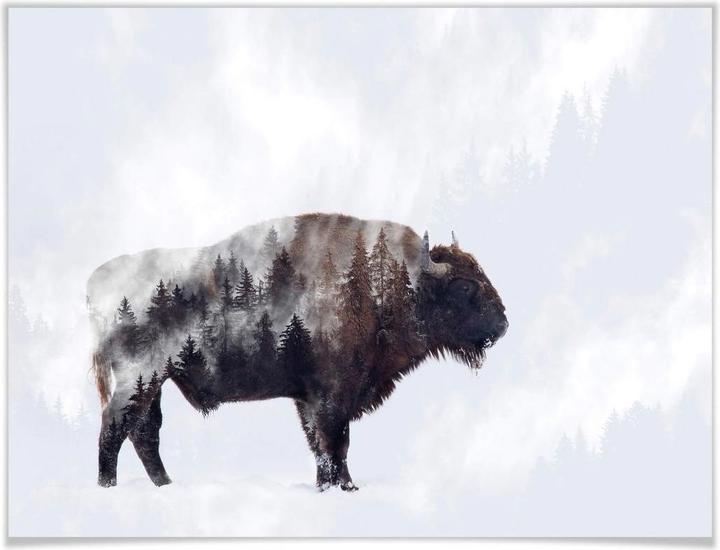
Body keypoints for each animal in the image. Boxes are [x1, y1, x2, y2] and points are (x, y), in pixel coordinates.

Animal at [88, 213, 508, 491]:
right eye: (464, 286)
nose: (503, 324)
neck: (388, 281)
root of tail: (97, 280)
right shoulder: (331, 396)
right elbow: (334, 443)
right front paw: (342, 487)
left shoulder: (309, 398)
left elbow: (323, 444)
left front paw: (335, 486)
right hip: (139, 379)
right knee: (115, 429)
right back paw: (109, 487)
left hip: (154, 383)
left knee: (144, 432)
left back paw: (166, 484)